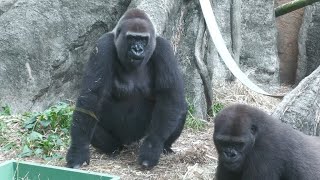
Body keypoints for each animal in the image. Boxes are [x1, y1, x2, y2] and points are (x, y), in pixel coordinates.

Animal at [67, 8, 188, 169]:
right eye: (131, 38)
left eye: (143, 40)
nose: (137, 49)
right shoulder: (103, 46)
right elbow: (91, 98)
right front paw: (78, 151)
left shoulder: (164, 48)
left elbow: (170, 97)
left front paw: (152, 149)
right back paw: (113, 149)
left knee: (180, 110)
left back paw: (165, 147)